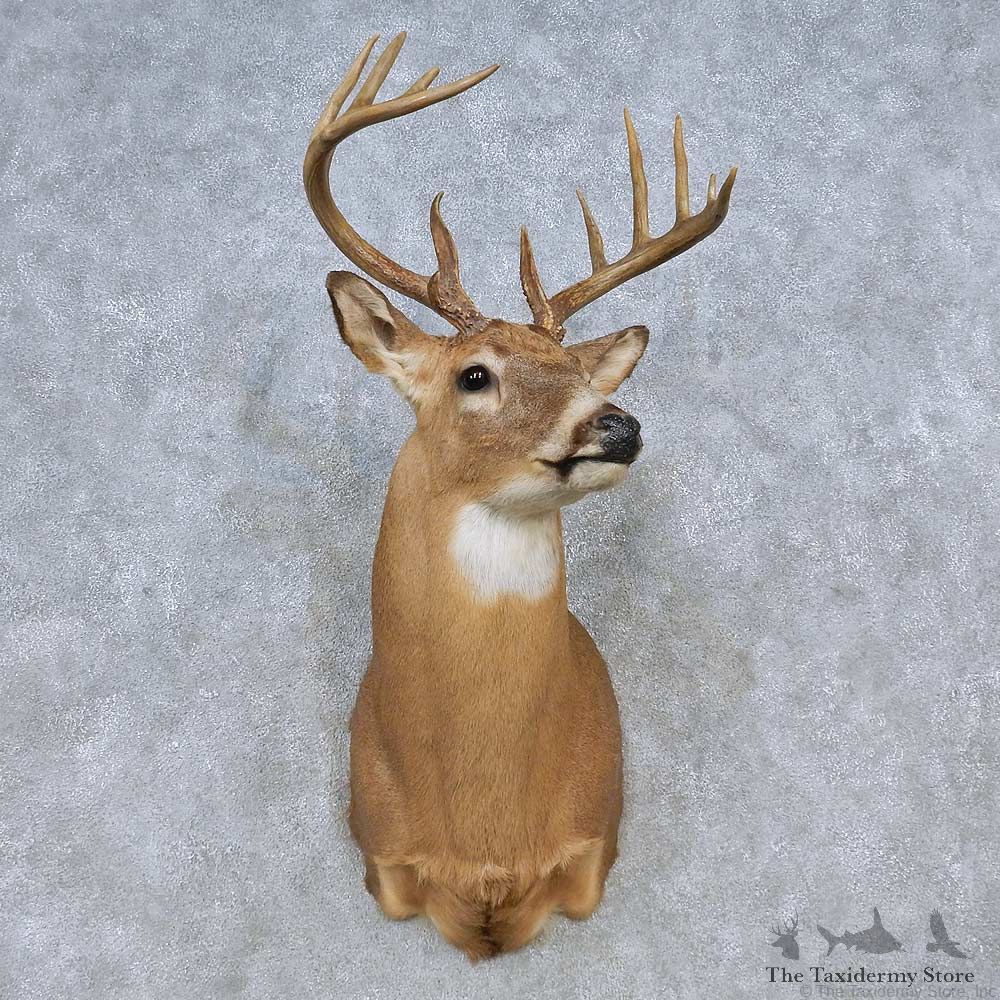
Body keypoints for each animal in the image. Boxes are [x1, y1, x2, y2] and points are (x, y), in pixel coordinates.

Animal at [303, 32, 737, 960]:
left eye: (581, 370)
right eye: (475, 374)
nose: (616, 424)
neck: (488, 832)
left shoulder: (594, 843)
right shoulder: (381, 856)